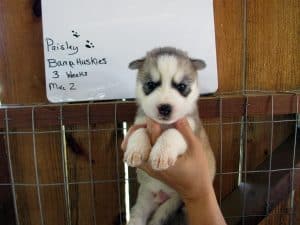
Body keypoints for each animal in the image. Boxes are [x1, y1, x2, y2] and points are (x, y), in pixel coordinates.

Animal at [124, 46, 216, 224]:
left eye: (181, 86)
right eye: (150, 84)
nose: (165, 108)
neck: (163, 124)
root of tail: (162, 196)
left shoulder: (189, 127)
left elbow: (172, 133)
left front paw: (162, 153)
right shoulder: (141, 121)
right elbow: (139, 130)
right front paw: (135, 150)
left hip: (171, 204)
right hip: (145, 198)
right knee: (138, 214)